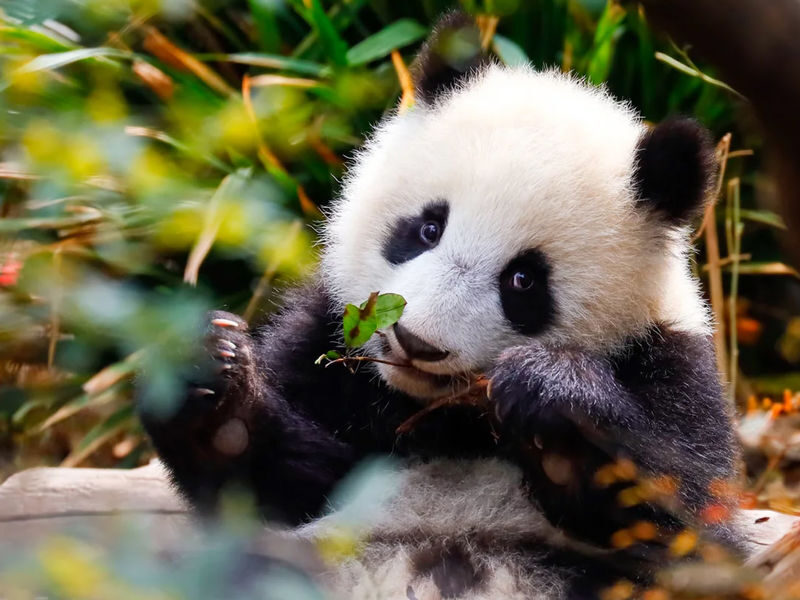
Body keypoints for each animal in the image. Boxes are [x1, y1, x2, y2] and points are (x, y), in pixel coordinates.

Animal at [140, 12, 744, 599]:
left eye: (523, 281)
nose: (416, 342)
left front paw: (554, 400)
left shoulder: (672, 364)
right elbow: (278, 482)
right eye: (427, 228)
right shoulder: (324, 343)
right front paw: (210, 374)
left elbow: (687, 523)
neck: (444, 419)